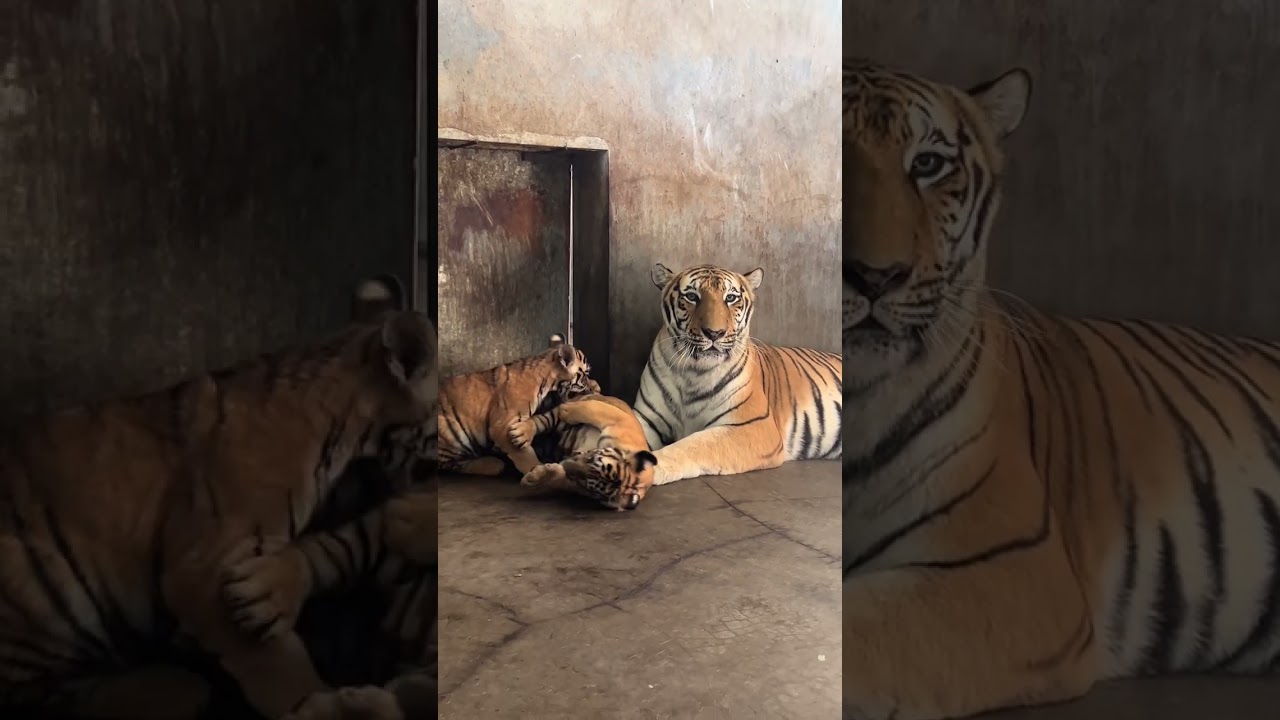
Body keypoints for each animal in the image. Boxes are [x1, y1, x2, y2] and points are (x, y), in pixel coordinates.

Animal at [438, 335, 594, 477]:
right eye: (585, 375)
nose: (591, 389)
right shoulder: (503, 426)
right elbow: (525, 455)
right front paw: (539, 470)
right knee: (449, 464)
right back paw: (493, 464)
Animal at [505, 391, 659, 511]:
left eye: (587, 482)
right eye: (592, 457)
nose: (566, 464)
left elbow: (558, 478)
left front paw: (535, 477)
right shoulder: (617, 420)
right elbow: (591, 409)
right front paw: (566, 410)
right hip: (555, 421)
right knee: (539, 421)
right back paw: (522, 433)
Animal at [632, 263, 842, 485]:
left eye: (731, 298)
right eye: (691, 296)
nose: (714, 333)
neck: (693, 372)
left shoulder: (753, 425)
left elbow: (695, 444)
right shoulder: (647, 418)